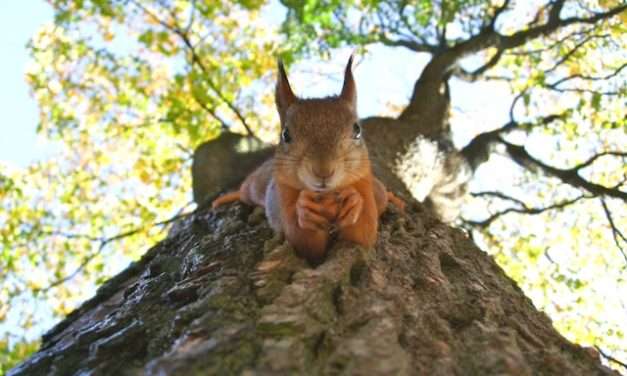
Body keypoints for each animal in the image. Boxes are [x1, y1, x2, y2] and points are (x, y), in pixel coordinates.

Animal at [213, 56, 404, 264]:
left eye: (357, 130)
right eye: (285, 134)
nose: (323, 171)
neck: (327, 197)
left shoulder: (364, 186)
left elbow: (363, 234)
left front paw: (354, 201)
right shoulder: (283, 195)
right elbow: (304, 243)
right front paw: (304, 209)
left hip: (377, 189)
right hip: (256, 186)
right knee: (244, 191)